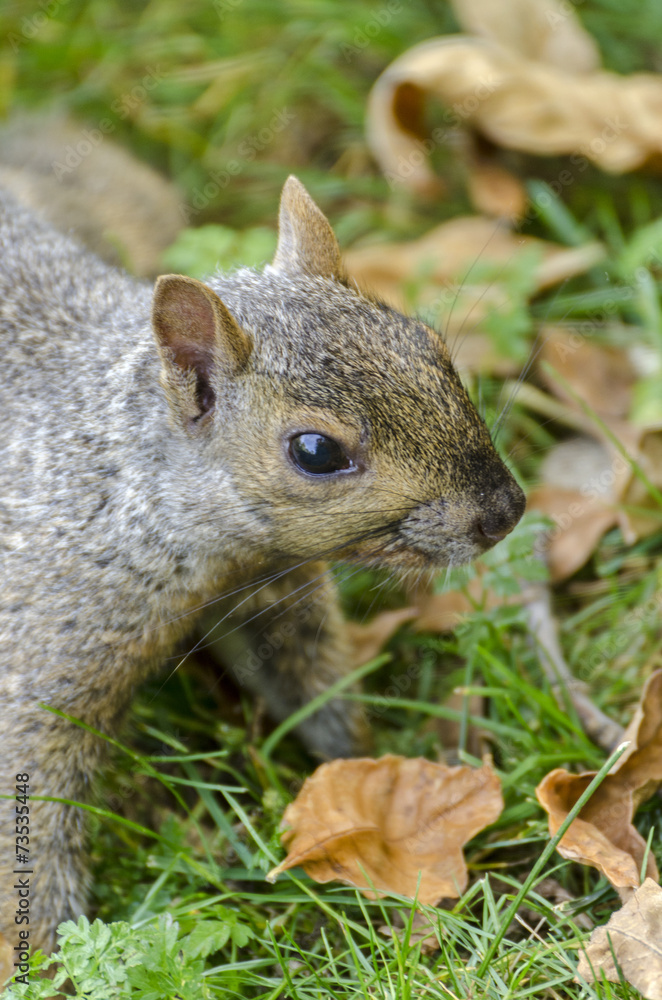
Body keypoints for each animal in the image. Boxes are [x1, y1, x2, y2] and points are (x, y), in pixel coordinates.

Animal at [0, 166, 525, 960]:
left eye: (430, 345)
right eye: (316, 452)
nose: (506, 509)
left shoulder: (274, 593)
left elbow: (314, 689)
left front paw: (364, 771)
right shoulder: (48, 645)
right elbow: (32, 801)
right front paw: (50, 948)